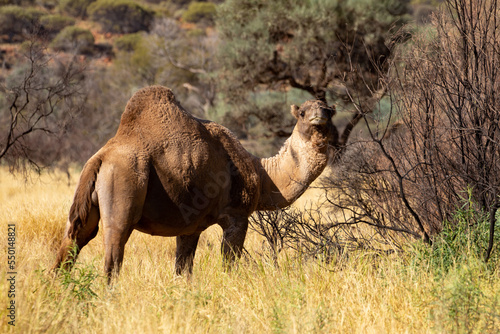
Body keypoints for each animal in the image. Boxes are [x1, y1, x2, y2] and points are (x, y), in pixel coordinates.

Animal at [51, 85, 336, 280]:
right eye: (302, 112)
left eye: (328, 110)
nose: (319, 116)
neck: (262, 174)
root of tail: (101, 158)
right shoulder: (236, 215)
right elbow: (229, 264)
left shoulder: (189, 228)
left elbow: (183, 271)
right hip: (124, 183)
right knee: (113, 253)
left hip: (86, 200)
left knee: (72, 241)